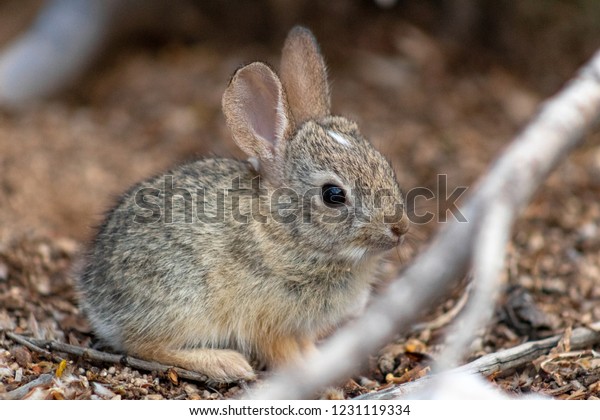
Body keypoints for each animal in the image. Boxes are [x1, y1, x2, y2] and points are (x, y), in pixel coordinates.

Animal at [77, 24, 410, 382]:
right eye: (333, 195)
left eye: (384, 163)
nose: (400, 227)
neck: (287, 232)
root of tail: (95, 293)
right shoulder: (269, 321)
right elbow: (284, 354)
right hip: (183, 300)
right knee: (144, 345)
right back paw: (224, 362)